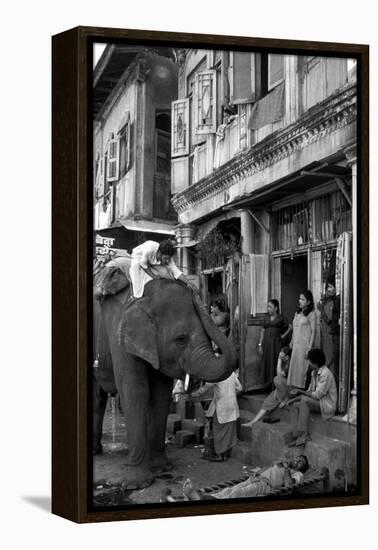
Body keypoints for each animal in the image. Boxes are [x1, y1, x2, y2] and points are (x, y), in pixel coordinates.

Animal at [92, 264, 235, 492]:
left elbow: (160, 395)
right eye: (181, 339)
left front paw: (161, 469)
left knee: (98, 398)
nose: (195, 290)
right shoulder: (119, 335)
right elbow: (136, 392)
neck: (145, 296)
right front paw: (135, 484)